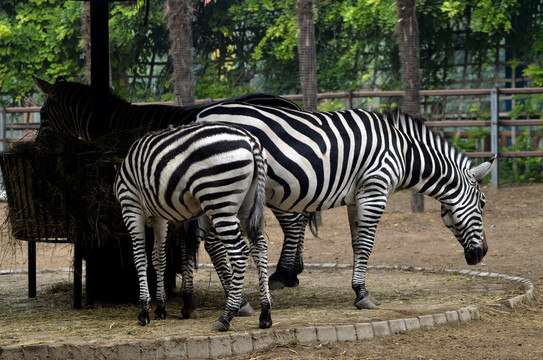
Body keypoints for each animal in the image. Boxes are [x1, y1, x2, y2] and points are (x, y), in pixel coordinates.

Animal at [113, 122, 270, 330]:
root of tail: (250, 140)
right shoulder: (160, 217)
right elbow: (159, 258)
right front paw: (160, 307)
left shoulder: (131, 207)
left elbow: (140, 259)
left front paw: (144, 310)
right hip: (247, 203)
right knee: (260, 247)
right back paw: (265, 314)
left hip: (219, 200)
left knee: (239, 253)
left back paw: (225, 317)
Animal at [197, 102, 498, 308]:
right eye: (483, 203)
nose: (483, 253)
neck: (403, 152)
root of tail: (201, 116)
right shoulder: (375, 191)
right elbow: (366, 245)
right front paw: (363, 294)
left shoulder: (359, 196)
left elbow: (357, 244)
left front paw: (358, 288)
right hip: (223, 189)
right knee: (215, 243)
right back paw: (237, 301)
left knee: (213, 242)